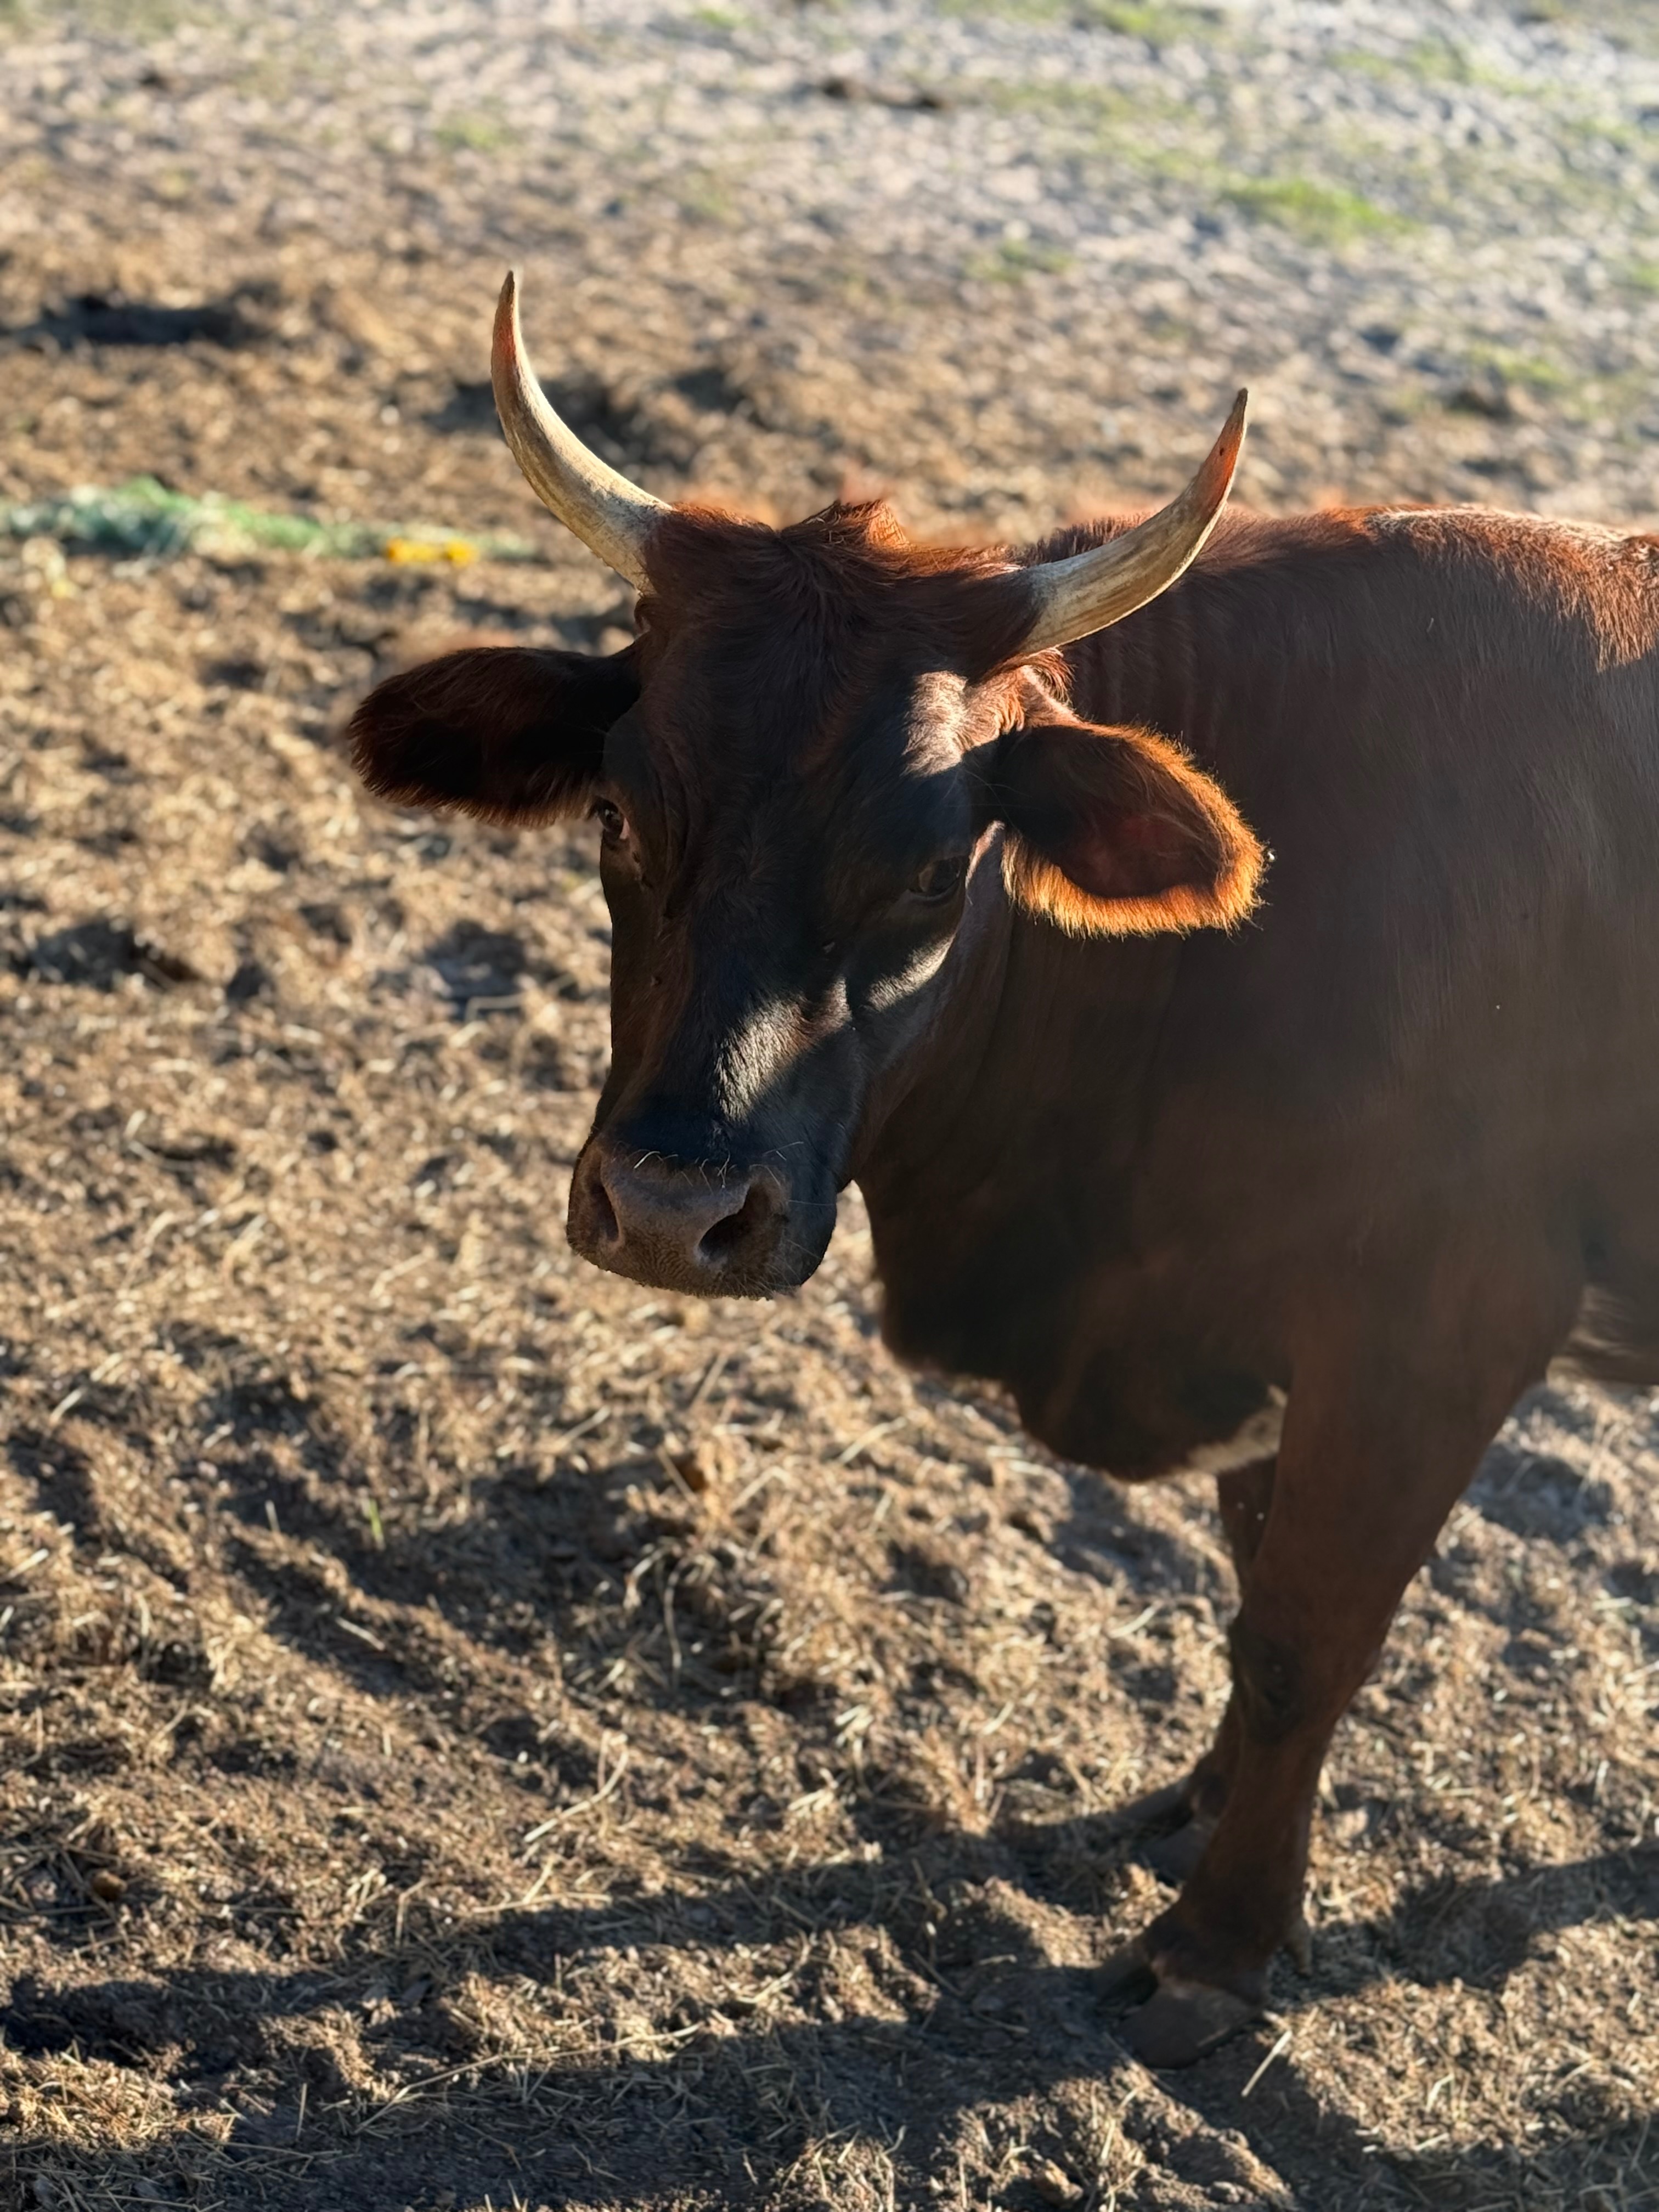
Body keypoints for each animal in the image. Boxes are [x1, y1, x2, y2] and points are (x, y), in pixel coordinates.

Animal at [349, 270, 1659, 2066]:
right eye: (618, 816)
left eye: (930, 865)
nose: (677, 1212)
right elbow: (1254, 1588)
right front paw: (1196, 1806)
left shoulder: (1439, 1329)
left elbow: (1306, 1634)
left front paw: (1219, 1946)